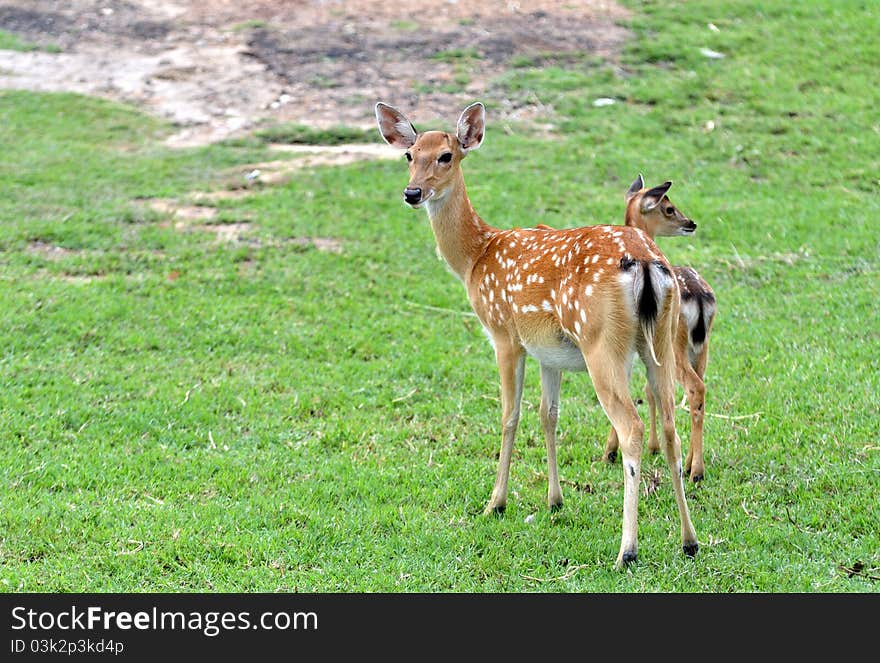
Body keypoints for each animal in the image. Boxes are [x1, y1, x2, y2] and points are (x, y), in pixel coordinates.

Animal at [374, 100, 696, 564]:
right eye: (409, 155)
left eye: (446, 156)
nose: (412, 193)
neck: (476, 257)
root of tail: (647, 262)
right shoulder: (550, 351)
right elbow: (549, 415)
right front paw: (554, 499)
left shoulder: (505, 334)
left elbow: (509, 415)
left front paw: (496, 502)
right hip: (660, 342)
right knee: (670, 424)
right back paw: (689, 541)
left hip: (602, 343)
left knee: (632, 428)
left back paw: (627, 551)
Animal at [600, 176, 720, 486]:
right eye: (668, 208)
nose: (691, 222)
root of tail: (699, 299)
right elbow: (649, 390)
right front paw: (653, 447)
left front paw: (611, 451)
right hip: (702, 348)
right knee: (698, 390)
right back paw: (689, 464)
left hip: (673, 345)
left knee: (695, 388)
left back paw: (696, 471)